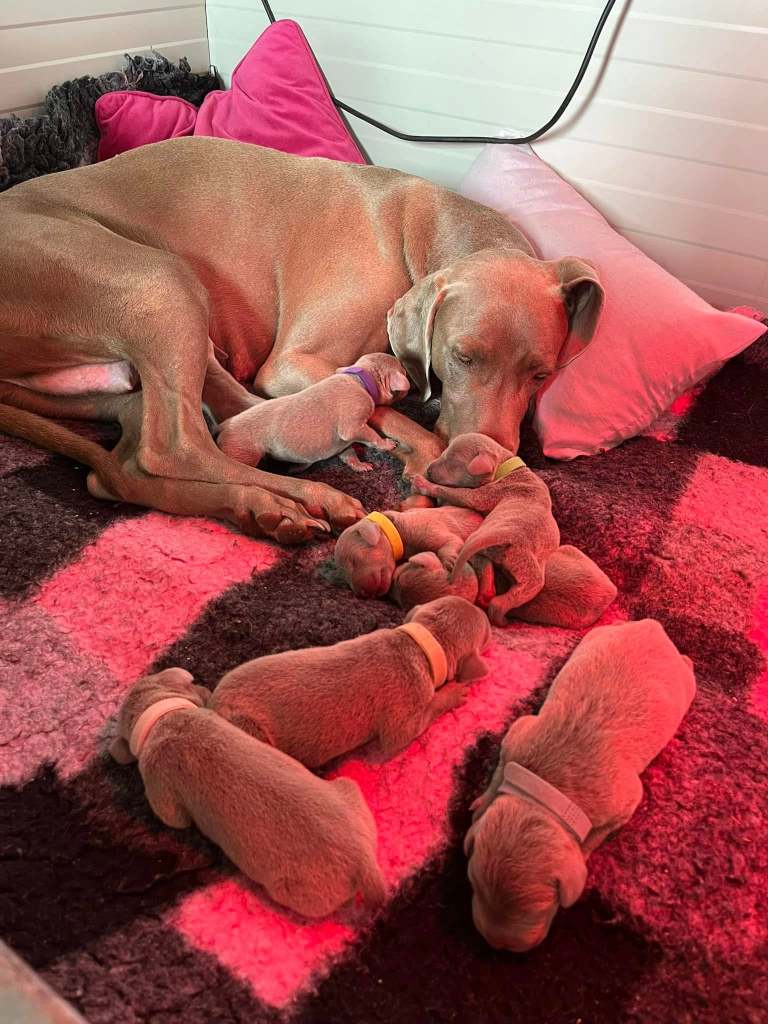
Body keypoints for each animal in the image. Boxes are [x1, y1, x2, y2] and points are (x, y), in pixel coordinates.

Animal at [110, 667, 386, 918]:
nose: (207, 689)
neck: (164, 717)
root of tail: (363, 863)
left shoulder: (159, 785)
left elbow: (173, 818)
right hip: (348, 790)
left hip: (298, 891)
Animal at [209, 597, 491, 767]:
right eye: (487, 632)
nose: (487, 613)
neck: (420, 644)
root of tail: (212, 704)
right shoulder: (405, 718)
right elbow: (418, 720)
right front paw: (453, 693)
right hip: (248, 729)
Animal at [216, 353, 409, 472]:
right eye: (403, 368)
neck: (359, 378)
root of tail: (222, 426)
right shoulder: (353, 423)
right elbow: (369, 435)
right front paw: (387, 443)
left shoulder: (342, 443)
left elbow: (348, 452)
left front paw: (359, 465)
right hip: (242, 451)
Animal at [413, 433, 560, 624]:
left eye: (453, 463)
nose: (429, 470)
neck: (506, 467)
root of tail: (507, 535)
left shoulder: (486, 494)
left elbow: (456, 493)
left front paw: (424, 484)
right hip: (527, 566)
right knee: (524, 585)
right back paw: (491, 599)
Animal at [464, 620, 696, 952]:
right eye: (473, 883)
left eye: (543, 908)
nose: (498, 945)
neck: (546, 791)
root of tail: (652, 626)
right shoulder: (519, 735)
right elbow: (500, 772)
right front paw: (483, 802)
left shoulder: (623, 801)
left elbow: (596, 835)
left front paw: (584, 852)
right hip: (599, 634)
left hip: (684, 684)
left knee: (688, 669)